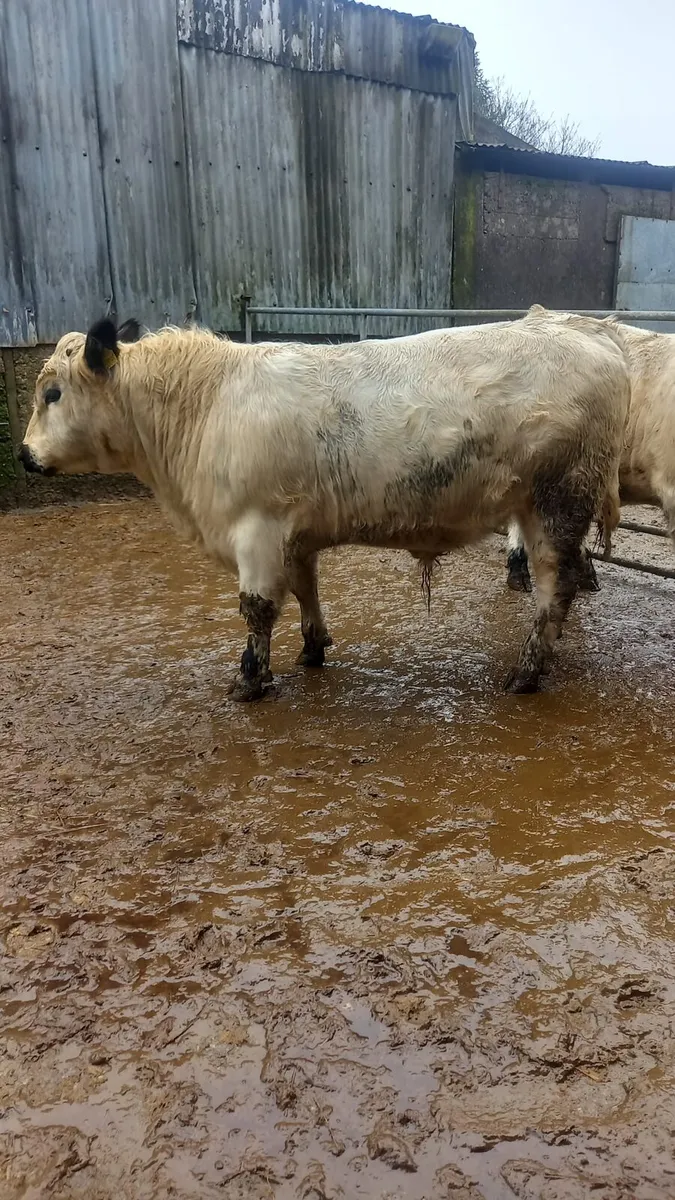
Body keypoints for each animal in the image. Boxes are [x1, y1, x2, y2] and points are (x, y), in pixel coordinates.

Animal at [19, 304, 630, 700]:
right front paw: (312, 649)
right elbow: (303, 588)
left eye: (52, 393)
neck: (207, 403)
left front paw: (250, 679)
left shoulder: (255, 527)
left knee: (555, 589)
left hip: (558, 502)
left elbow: (257, 608)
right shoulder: (291, 532)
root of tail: (591, 334)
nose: (24, 456)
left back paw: (526, 673)